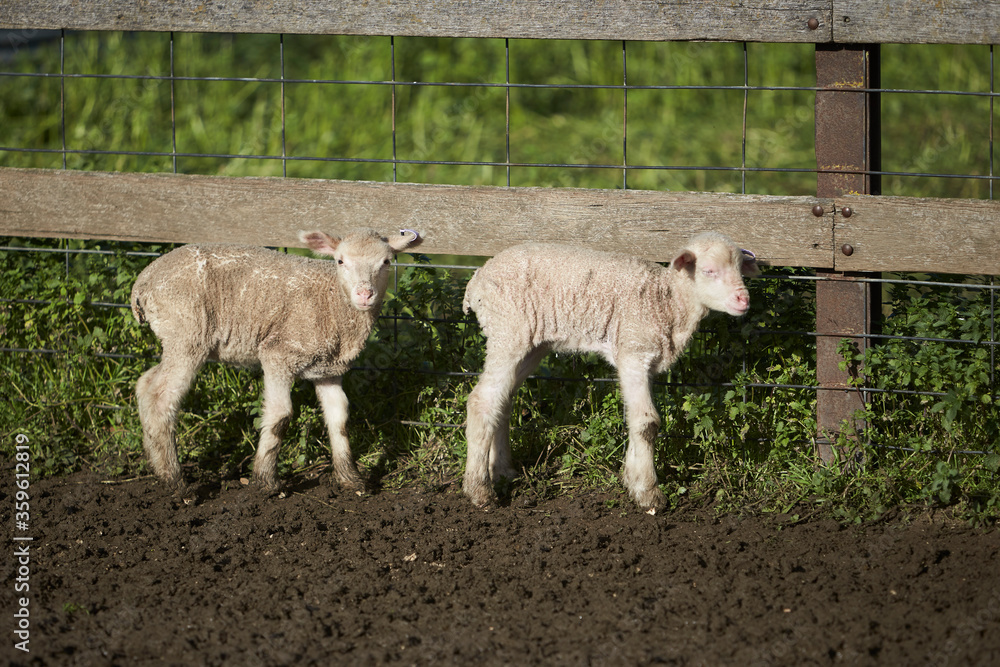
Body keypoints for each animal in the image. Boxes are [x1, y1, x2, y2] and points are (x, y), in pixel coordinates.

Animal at [130, 228, 421, 493]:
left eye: (387, 262)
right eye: (340, 261)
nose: (364, 294)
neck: (331, 301)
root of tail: (142, 284)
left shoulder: (328, 369)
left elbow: (339, 417)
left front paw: (351, 479)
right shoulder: (278, 353)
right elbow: (281, 415)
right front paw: (265, 480)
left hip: (176, 337)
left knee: (145, 385)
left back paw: (155, 464)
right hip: (187, 332)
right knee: (161, 398)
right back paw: (176, 482)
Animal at [462, 232, 759, 511]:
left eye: (740, 268)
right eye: (709, 270)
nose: (744, 299)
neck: (667, 302)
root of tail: (476, 281)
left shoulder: (641, 360)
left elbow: (635, 418)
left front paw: (632, 479)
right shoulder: (634, 352)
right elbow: (647, 423)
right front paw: (649, 493)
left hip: (530, 346)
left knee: (502, 401)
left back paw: (501, 471)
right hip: (507, 331)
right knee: (482, 401)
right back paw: (479, 491)